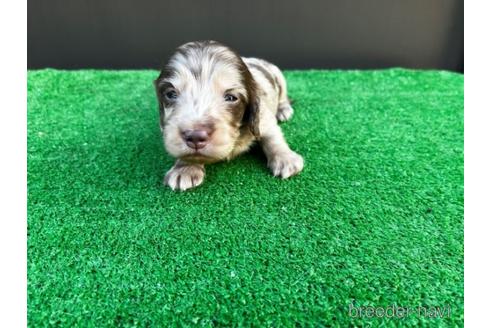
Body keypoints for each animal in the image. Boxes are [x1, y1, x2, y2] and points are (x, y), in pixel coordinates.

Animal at [155, 40, 304, 191]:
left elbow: (273, 138)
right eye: (171, 94)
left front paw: (285, 158)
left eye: (231, 97)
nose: (195, 136)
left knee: (283, 96)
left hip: (279, 76)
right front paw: (184, 168)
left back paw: (283, 110)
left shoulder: (264, 118)